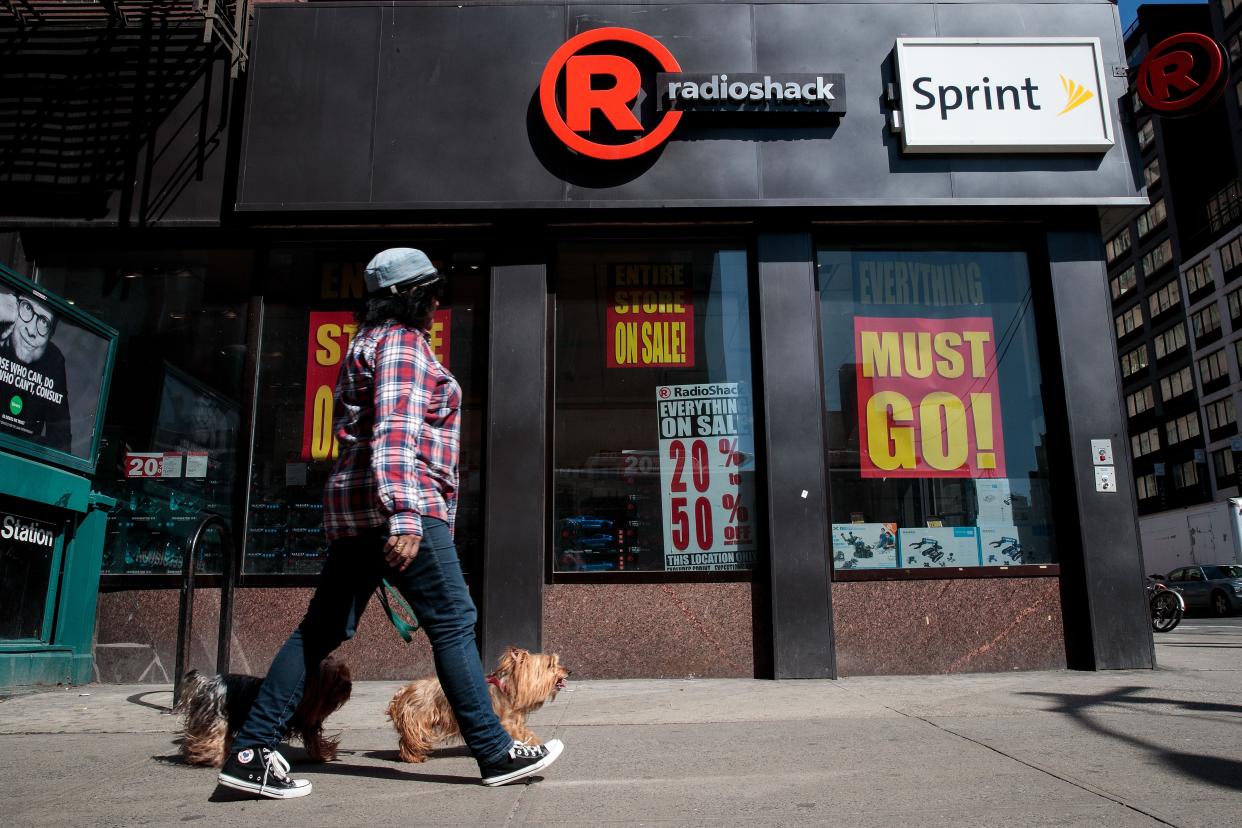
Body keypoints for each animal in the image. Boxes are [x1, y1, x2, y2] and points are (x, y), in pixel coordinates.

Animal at [175, 655, 352, 769]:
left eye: (346, 673)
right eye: (336, 677)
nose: (349, 685)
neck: (310, 689)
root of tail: (205, 684)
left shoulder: (309, 723)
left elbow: (315, 741)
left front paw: (325, 755)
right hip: (217, 718)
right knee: (211, 738)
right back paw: (211, 757)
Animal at [385, 645, 568, 764]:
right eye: (551, 664)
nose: (569, 670)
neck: (509, 687)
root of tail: (403, 692)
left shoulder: (514, 720)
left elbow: (524, 732)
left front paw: (535, 744)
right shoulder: (506, 722)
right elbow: (518, 734)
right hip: (418, 720)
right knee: (411, 738)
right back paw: (414, 757)